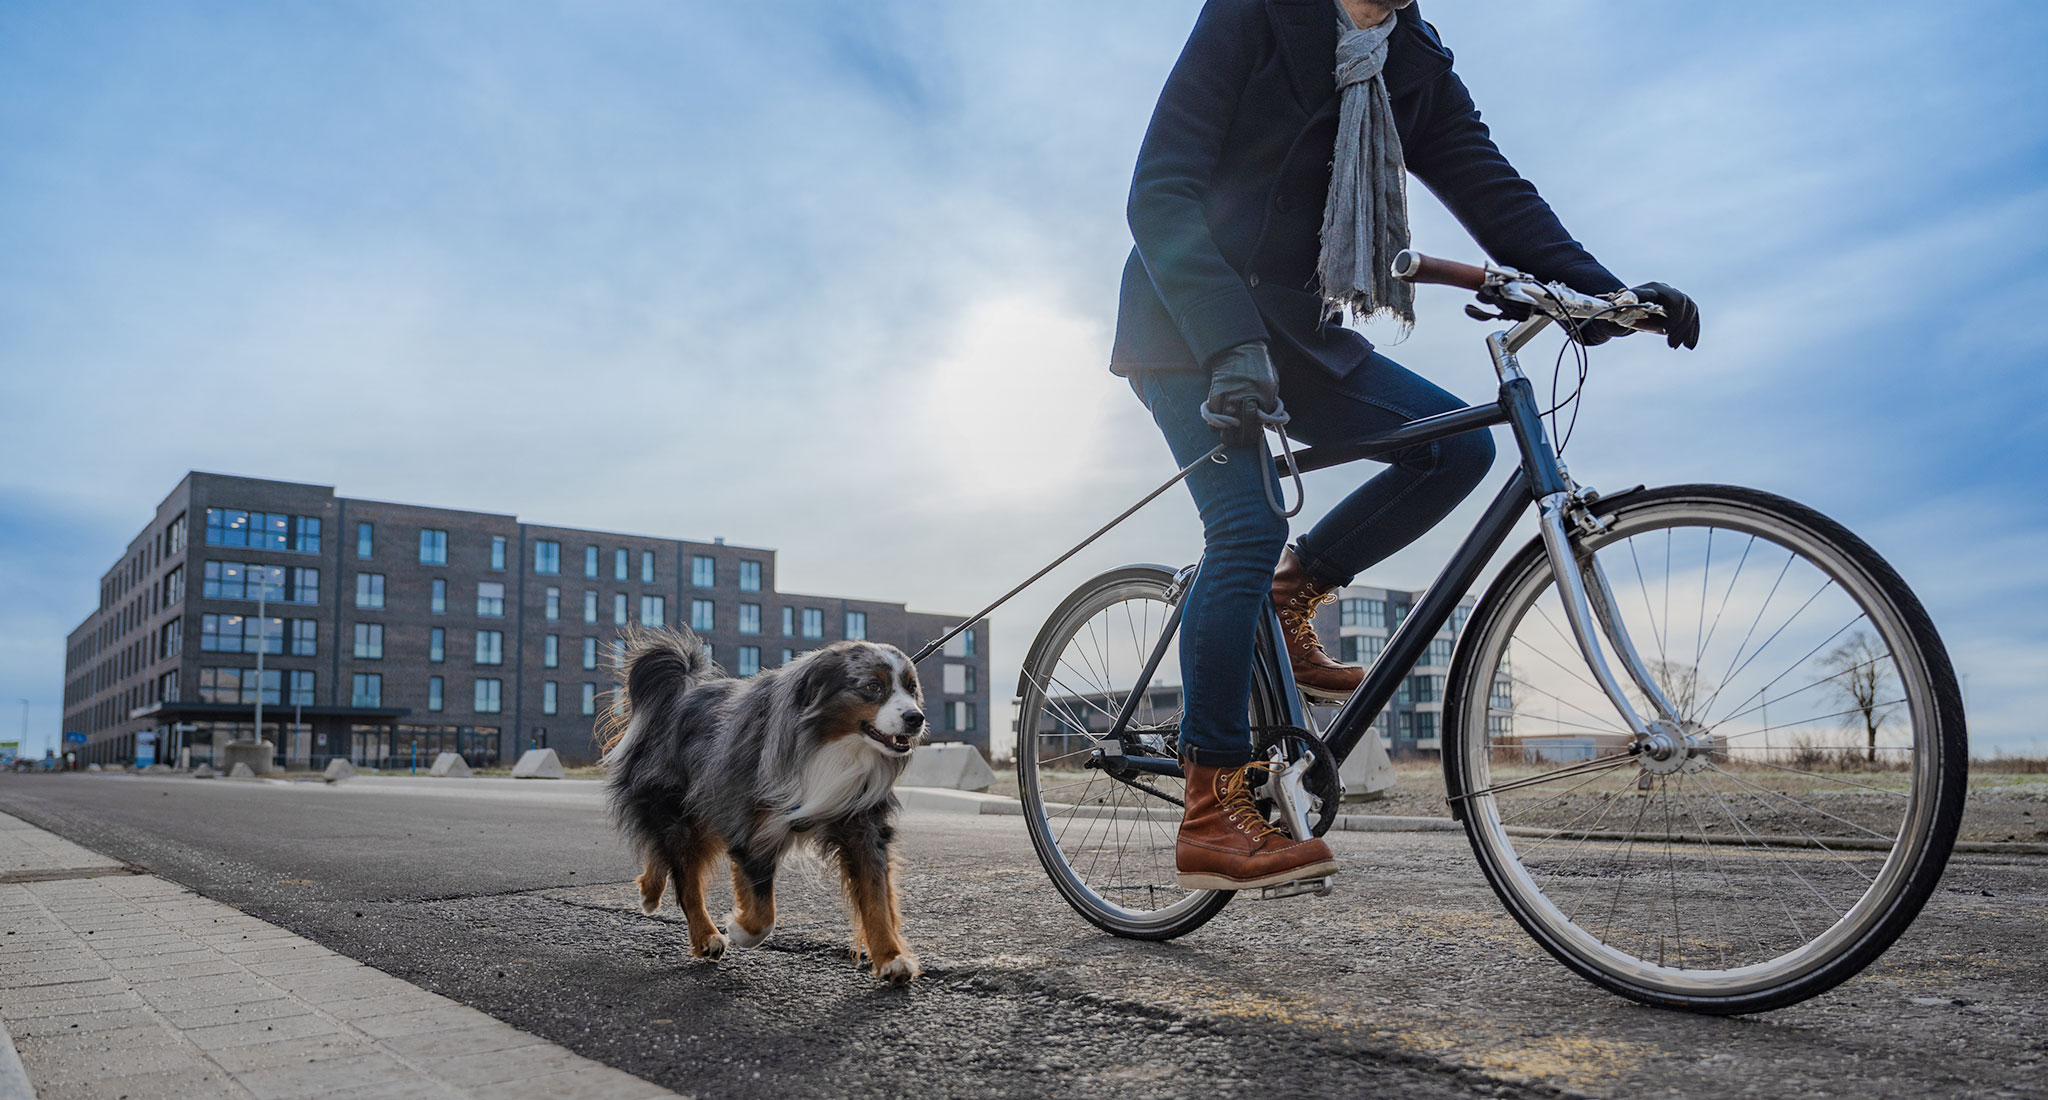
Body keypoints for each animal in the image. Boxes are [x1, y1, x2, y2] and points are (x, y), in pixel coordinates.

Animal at [598, 622, 929, 983]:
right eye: (873, 686)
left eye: (911, 687)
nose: (916, 718)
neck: (832, 745)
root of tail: (676, 696)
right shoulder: (751, 821)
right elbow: (762, 910)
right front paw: (739, 930)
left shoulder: (862, 824)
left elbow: (876, 898)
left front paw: (891, 958)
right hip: (684, 809)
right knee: (686, 879)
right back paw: (706, 936)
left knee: (667, 854)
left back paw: (649, 891)